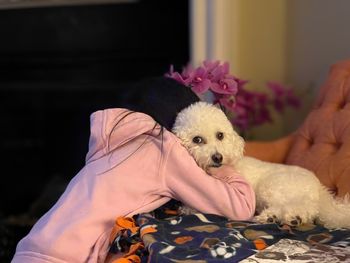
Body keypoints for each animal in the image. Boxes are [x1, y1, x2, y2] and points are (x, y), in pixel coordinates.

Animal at [173, 102, 350, 230]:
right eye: (197, 140)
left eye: (220, 135)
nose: (218, 157)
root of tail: (318, 186)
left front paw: (189, 208)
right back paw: (286, 217)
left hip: (271, 187)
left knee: (303, 206)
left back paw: (279, 217)